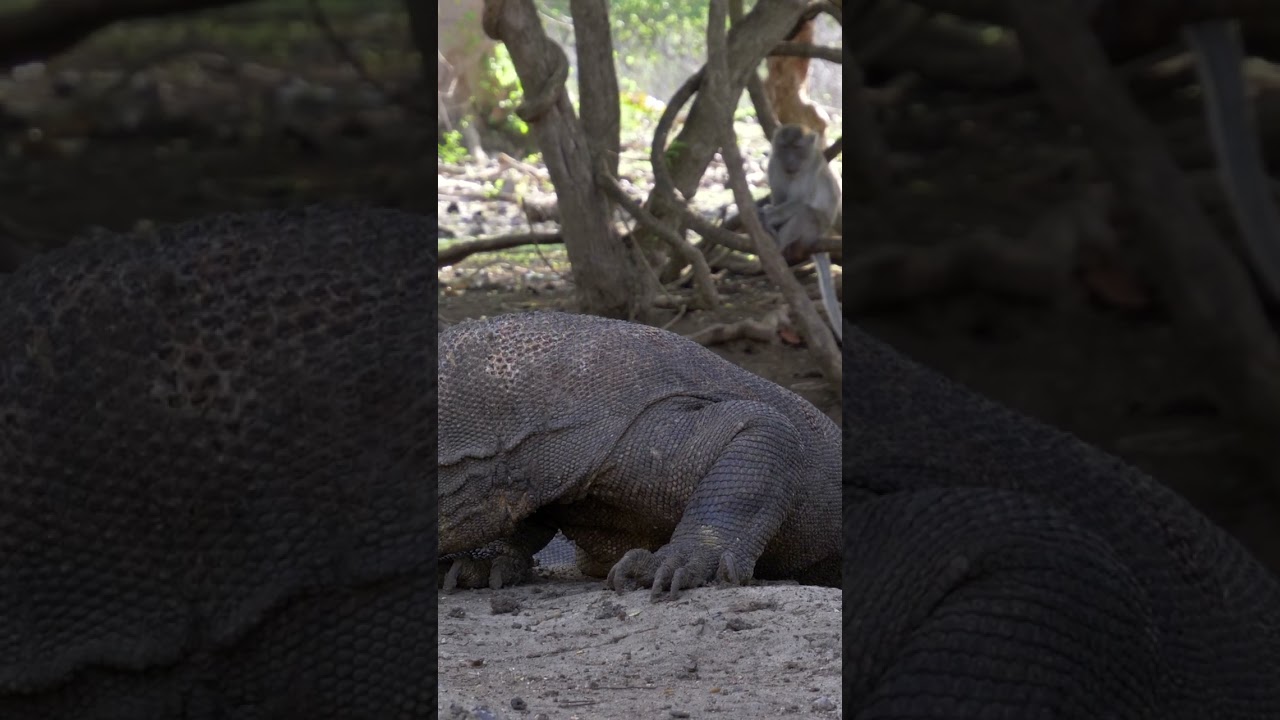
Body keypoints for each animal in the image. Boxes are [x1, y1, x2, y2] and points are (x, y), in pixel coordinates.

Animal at [759, 123, 843, 341]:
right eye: (784, 148)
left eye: (796, 148)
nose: (789, 160)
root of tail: (822, 235)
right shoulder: (774, 165)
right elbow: (779, 199)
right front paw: (768, 213)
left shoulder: (812, 169)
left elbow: (800, 202)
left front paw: (769, 217)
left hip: (816, 227)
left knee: (805, 213)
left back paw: (779, 244)